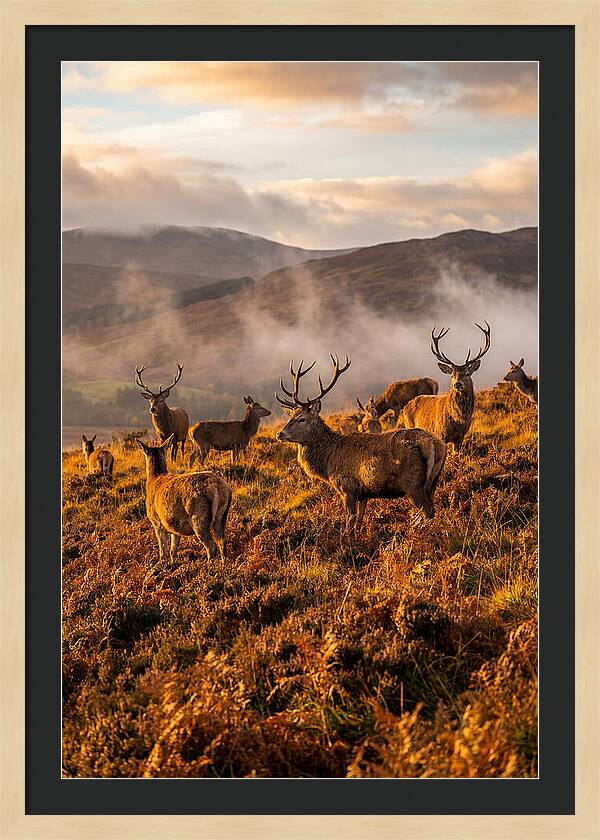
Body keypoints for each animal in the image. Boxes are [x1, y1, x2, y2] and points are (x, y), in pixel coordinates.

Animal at [135, 434, 232, 565]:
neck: (154, 478)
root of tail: (218, 487)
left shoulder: (157, 522)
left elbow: (163, 550)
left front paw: (162, 564)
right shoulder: (174, 526)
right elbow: (173, 550)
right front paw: (172, 563)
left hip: (199, 517)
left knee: (211, 545)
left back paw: (208, 566)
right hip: (222, 516)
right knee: (222, 542)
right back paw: (223, 565)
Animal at [275, 355, 447, 537]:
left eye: (302, 419)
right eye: (290, 417)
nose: (280, 434)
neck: (328, 462)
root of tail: (436, 444)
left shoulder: (347, 488)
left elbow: (349, 523)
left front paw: (347, 542)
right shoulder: (364, 493)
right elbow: (359, 521)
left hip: (413, 483)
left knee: (428, 511)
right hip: (433, 480)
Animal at [402, 322, 491, 452]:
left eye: (467, 374)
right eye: (452, 375)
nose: (457, 384)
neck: (459, 419)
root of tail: (405, 407)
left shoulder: (461, 437)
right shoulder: (440, 433)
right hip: (409, 426)